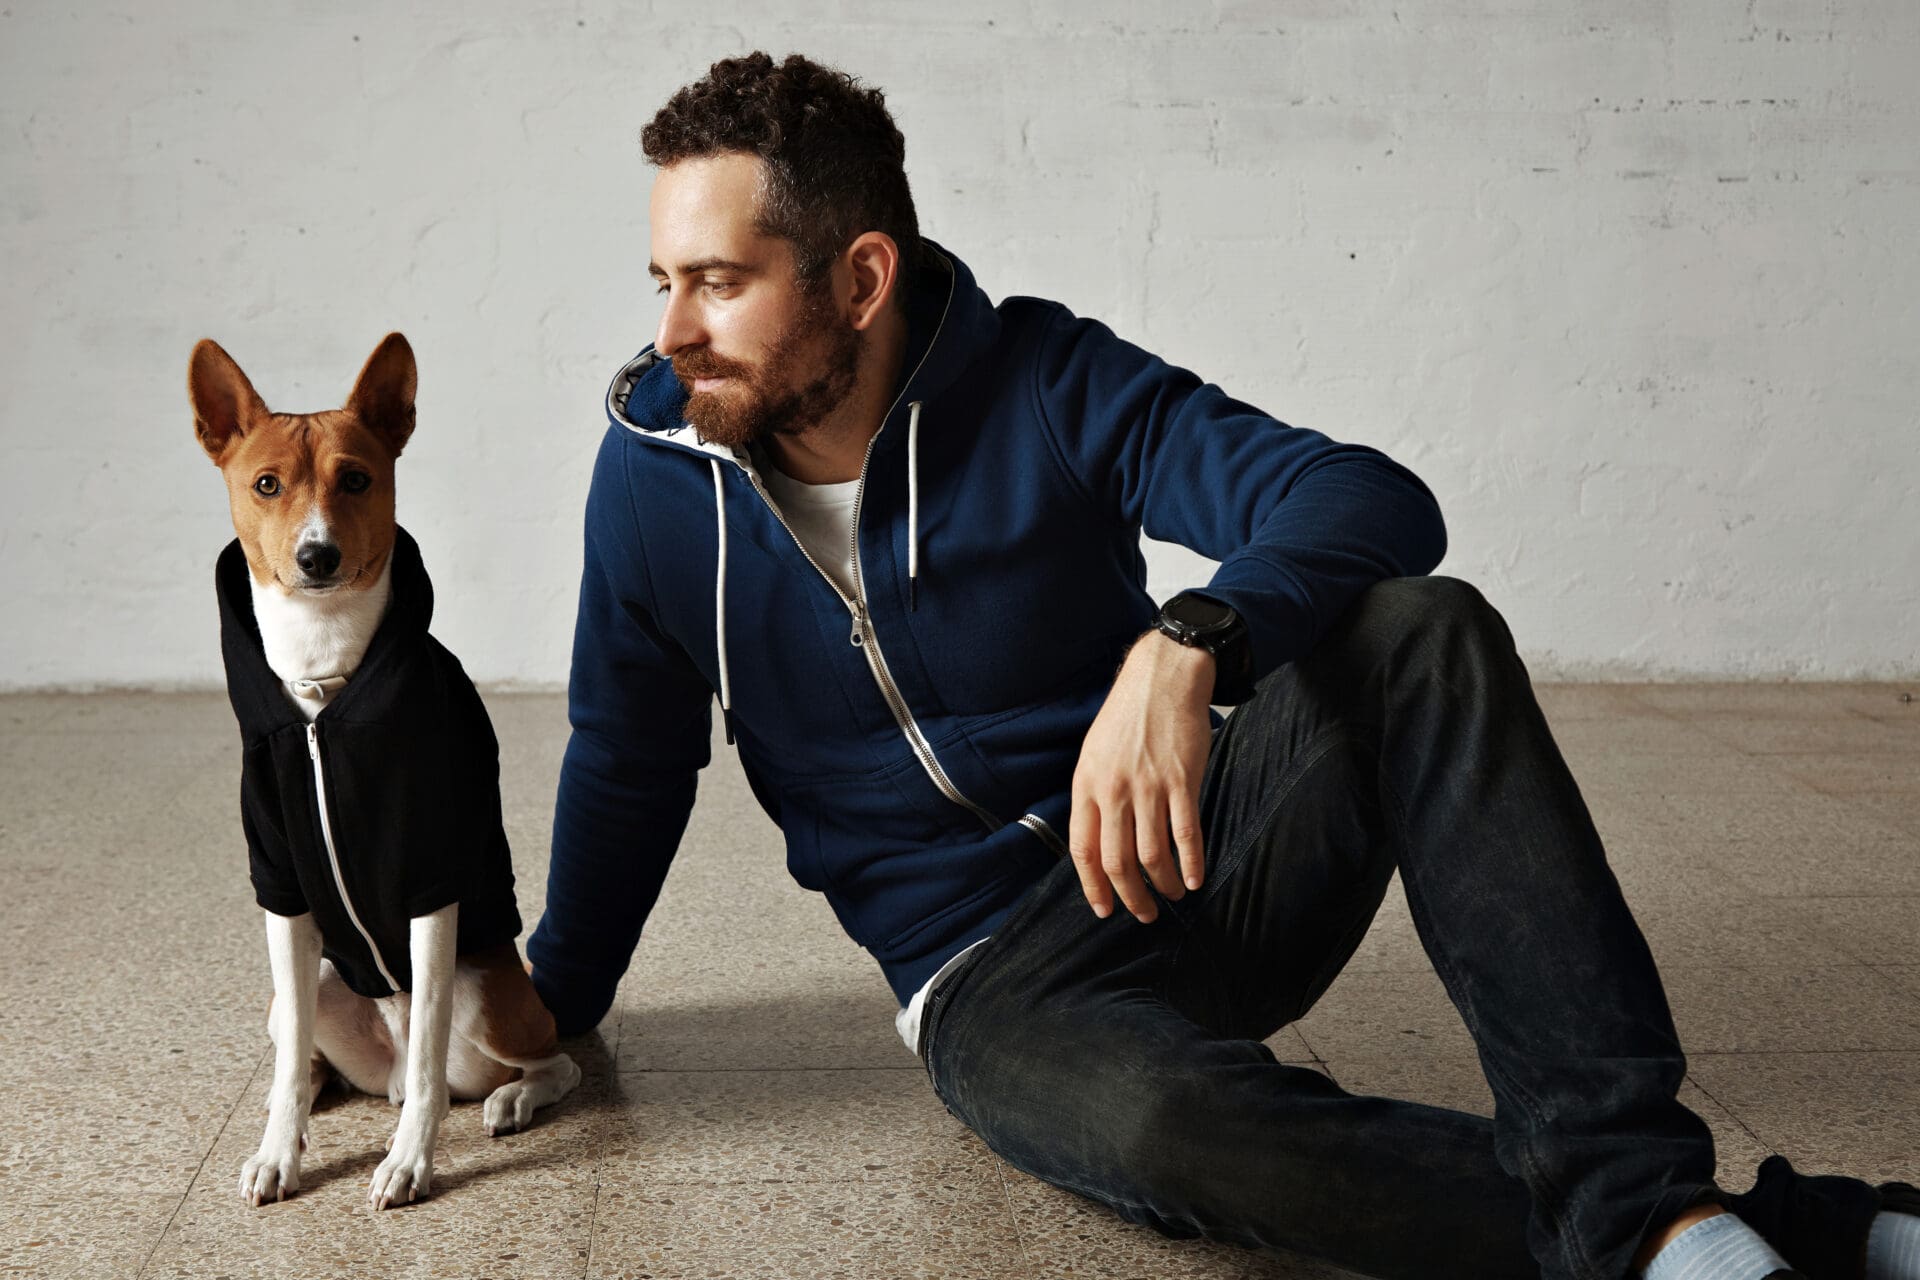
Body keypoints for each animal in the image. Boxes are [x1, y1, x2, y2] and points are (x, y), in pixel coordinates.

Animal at [188, 333, 579, 1212]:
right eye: (266, 485)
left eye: (357, 479)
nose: (317, 555)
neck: (321, 685)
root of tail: (385, 1063)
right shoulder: (283, 889)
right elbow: (289, 1061)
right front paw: (279, 1150)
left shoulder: (431, 888)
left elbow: (433, 1060)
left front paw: (409, 1162)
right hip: (316, 985)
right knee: (302, 1055)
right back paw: (305, 1100)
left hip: (492, 998)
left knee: (549, 1061)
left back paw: (510, 1098)